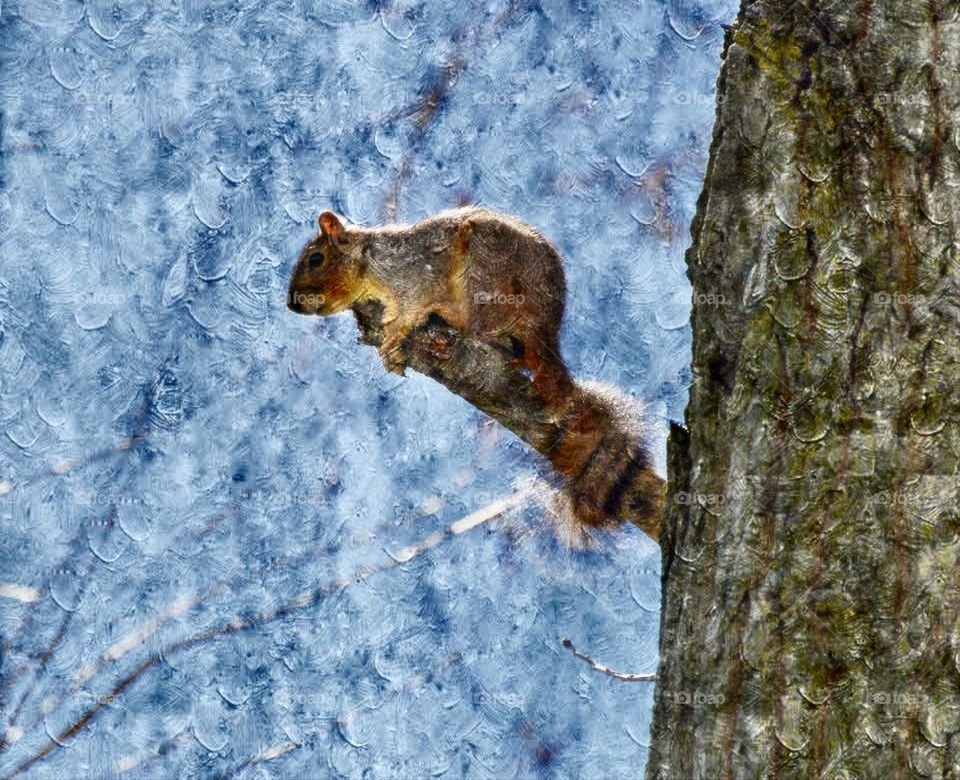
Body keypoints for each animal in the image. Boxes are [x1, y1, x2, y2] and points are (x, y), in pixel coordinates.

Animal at [287, 207, 574, 403]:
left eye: (316, 259)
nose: (292, 305)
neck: (368, 261)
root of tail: (545, 324)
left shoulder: (412, 276)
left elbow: (411, 309)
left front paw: (392, 337)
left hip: (484, 273)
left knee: (480, 330)